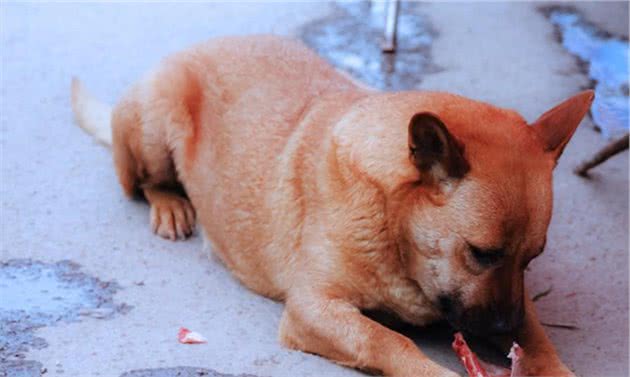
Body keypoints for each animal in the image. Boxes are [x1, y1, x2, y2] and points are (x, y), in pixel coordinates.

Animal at [71, 34, 596, 374]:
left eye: (532, 259)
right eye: (481, 253)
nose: (505, 326)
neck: (390, 217)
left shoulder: (516, 306)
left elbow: (541, 342)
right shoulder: (314, 310)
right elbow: (390, 341)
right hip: (155, 123)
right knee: (142, 182)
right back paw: (170, 204)